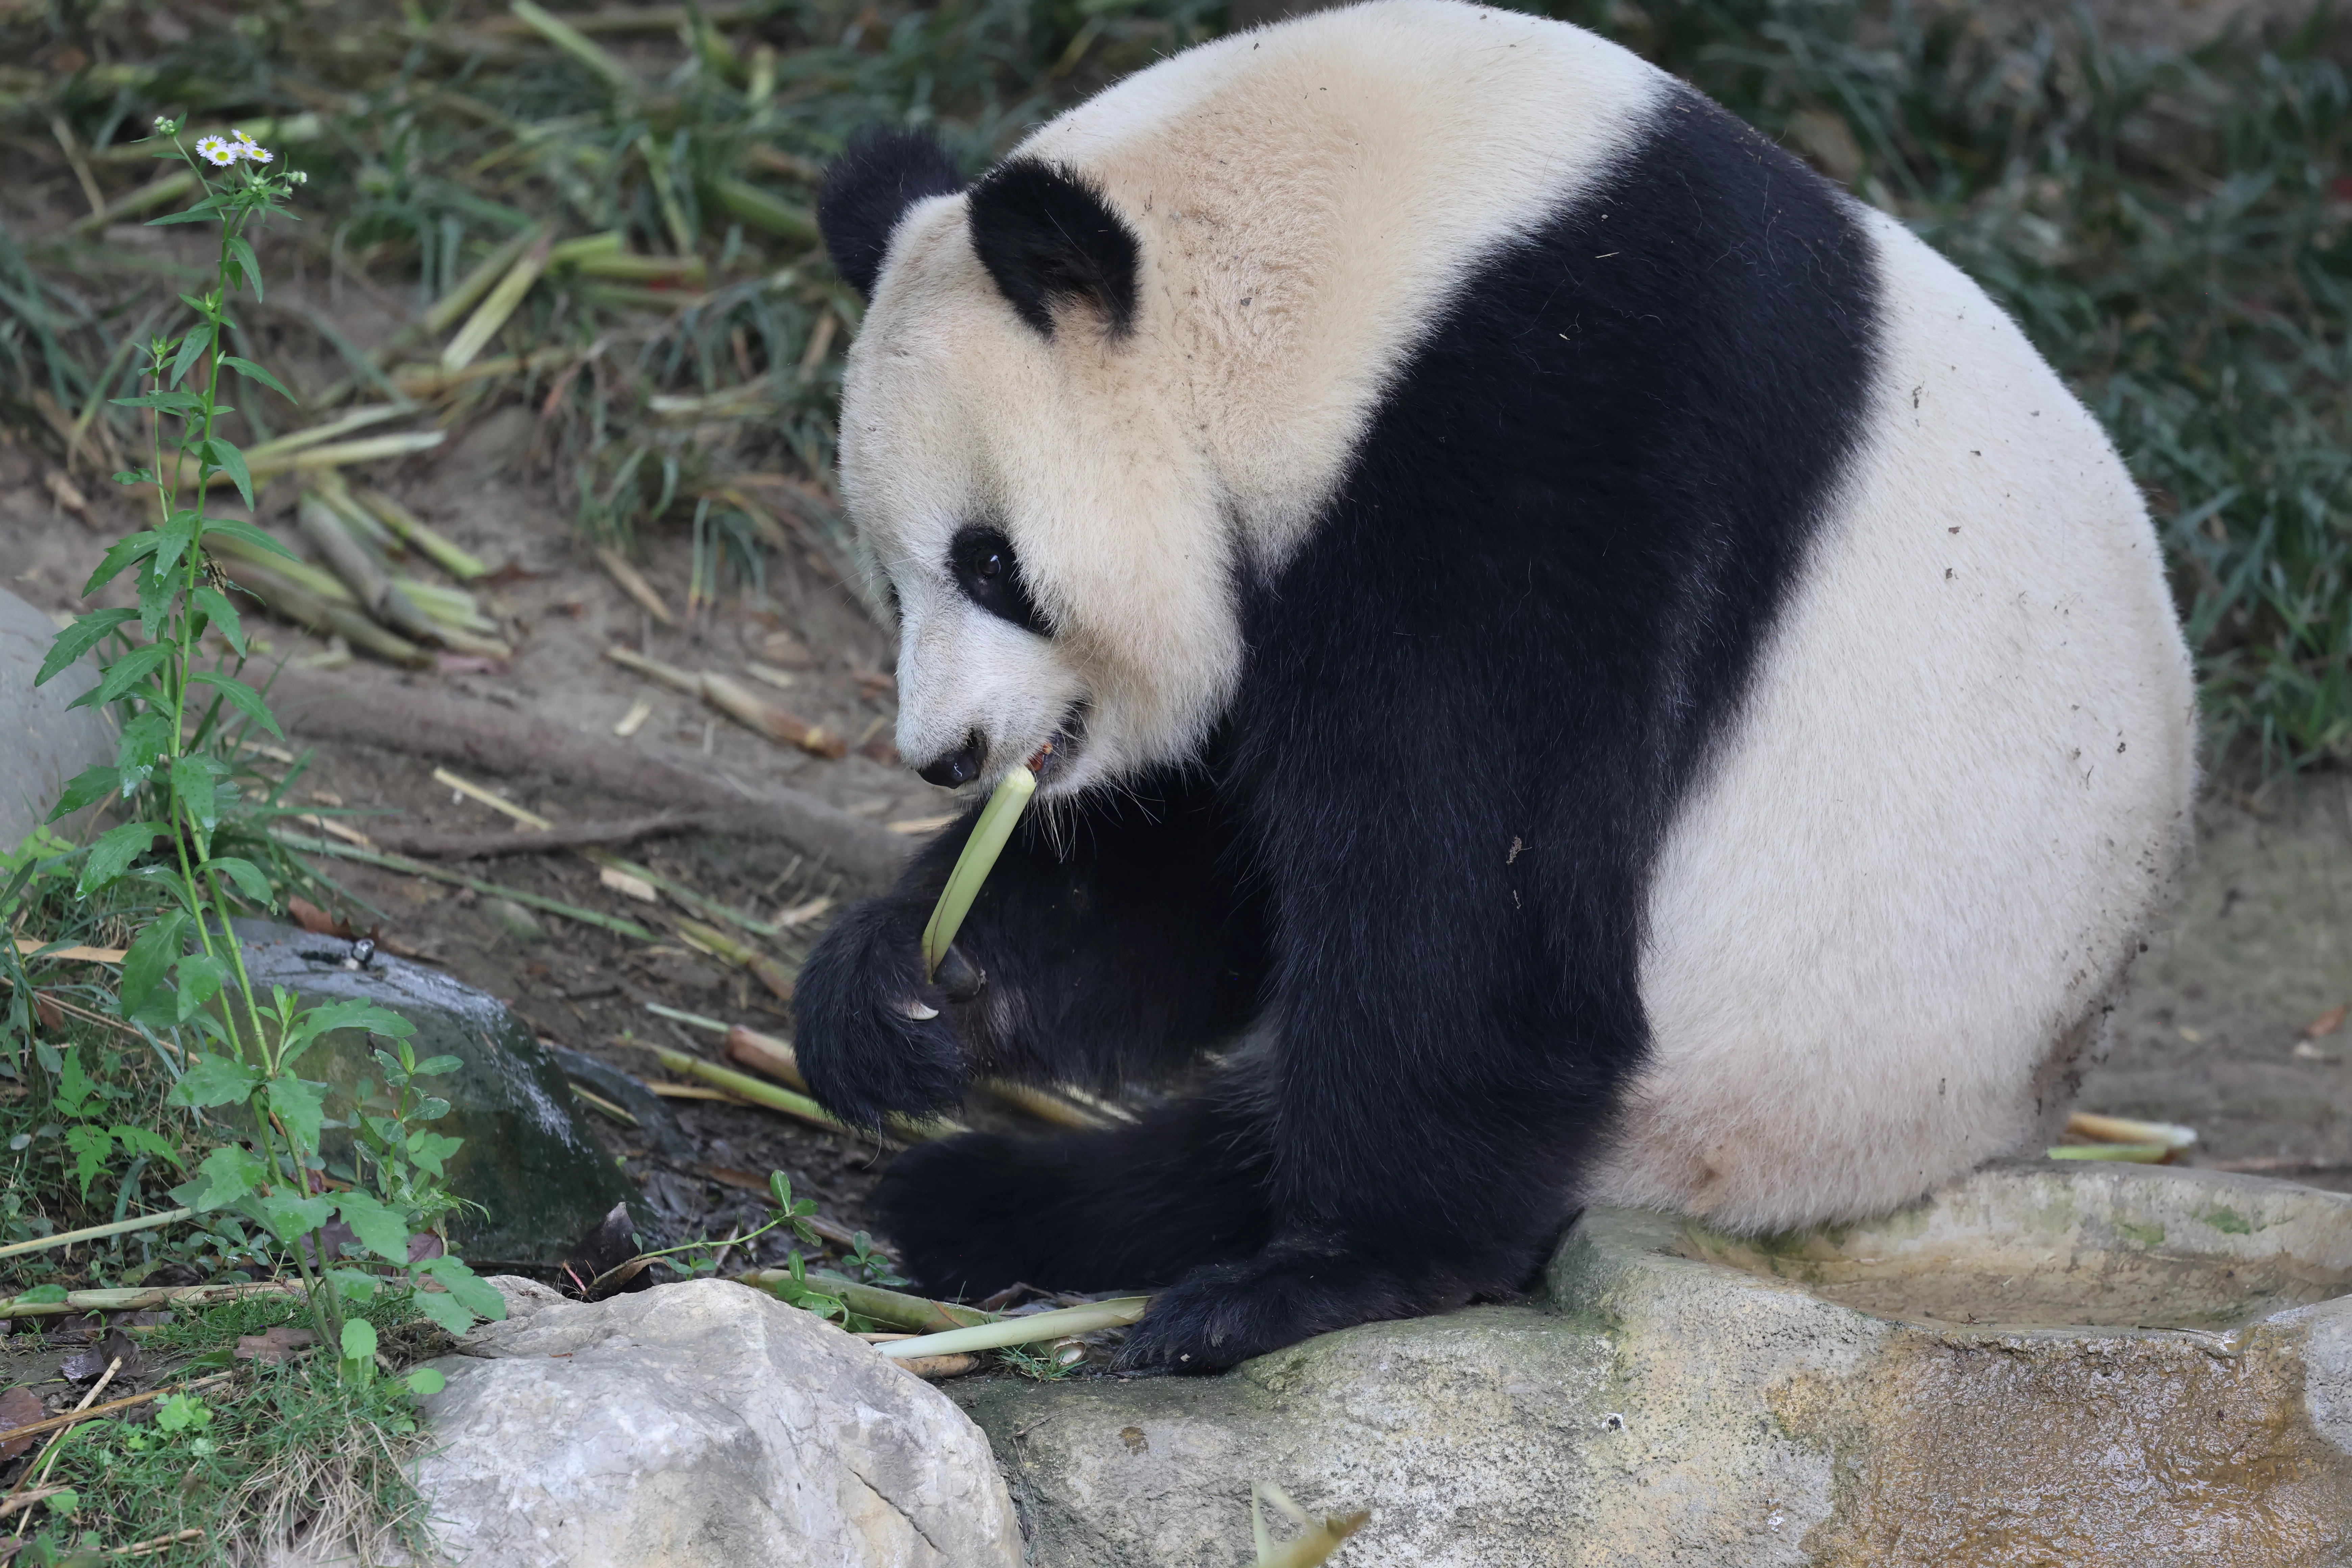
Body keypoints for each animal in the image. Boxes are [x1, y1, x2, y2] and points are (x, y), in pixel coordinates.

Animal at [795, 0, 2198, 1372]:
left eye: (990, 562)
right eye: (889, 580)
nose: (948, 754)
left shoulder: (1550, 433)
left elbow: (1467, 882)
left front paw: (1329, 1277)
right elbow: (1214, 865)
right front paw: (907, 988)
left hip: (1751, 1088)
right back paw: (975, 1204)